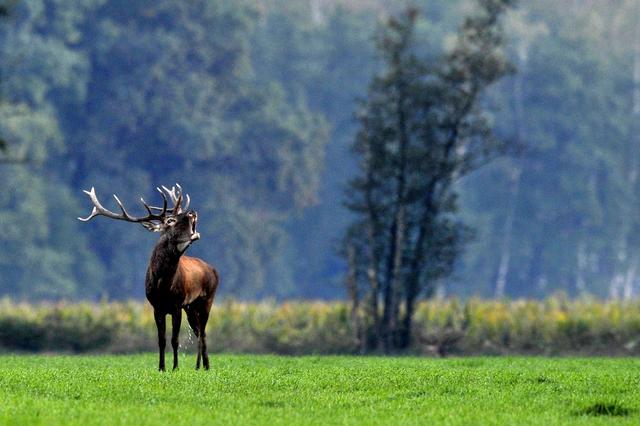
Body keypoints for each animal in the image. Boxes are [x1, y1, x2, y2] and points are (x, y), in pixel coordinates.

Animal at [78, 185, 219, 372]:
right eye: (170, 221)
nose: (192, 212)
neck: (163, 285)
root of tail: (213, 269)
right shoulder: (156, 307)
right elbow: (161, 340)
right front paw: (161, 368)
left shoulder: (176, 305)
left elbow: (175, 340)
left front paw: (175, 368)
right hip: (190, 307)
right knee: (198, 332)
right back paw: (199, 366)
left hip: (207, 299)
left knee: (203, 332)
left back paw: (206, 366)